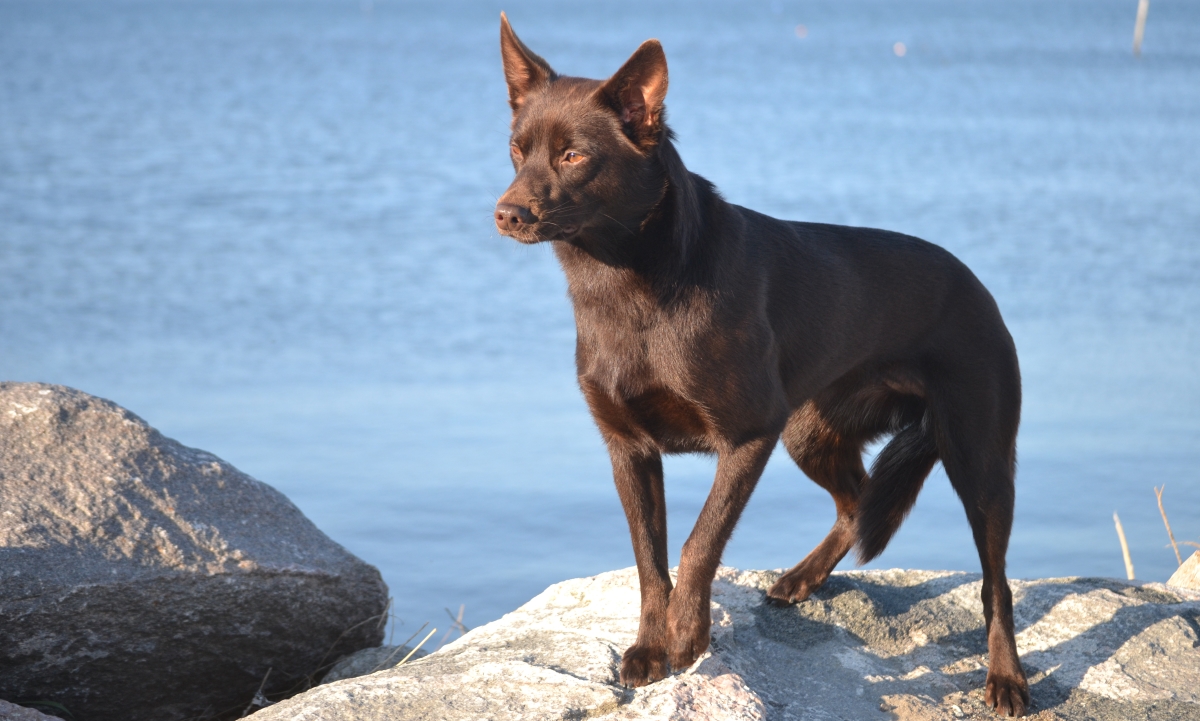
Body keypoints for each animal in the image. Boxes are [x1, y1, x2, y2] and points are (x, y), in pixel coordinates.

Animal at [496, 15, 1032, 715]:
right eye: (516, 149)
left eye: (574, 156)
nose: (506, 214)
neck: (629, 281)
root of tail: (976, 284)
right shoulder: (629, 449)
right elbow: (649, 557)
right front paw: (648, 648)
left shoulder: (749, 435)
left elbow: (698, 544)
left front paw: (687, 637)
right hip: (810, 432)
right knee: (857, 502)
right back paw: (803, 578)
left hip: (977, 457)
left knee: (996, 583)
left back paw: (1007, 679)